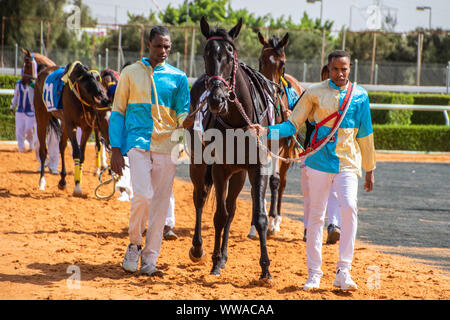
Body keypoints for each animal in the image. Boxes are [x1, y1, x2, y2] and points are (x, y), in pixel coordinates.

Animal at [30, 59, 110, 195]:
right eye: (103, 120)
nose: (110, 144)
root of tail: (42, 73)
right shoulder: (71, 125)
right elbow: (76, 152)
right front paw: (77, 185)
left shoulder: (87, 127)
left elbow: (81, 154)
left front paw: (78, 181)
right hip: (42, 117)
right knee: (43, 151)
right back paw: (41, 182)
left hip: (63, 123)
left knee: (61, 146)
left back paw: (62, 181)